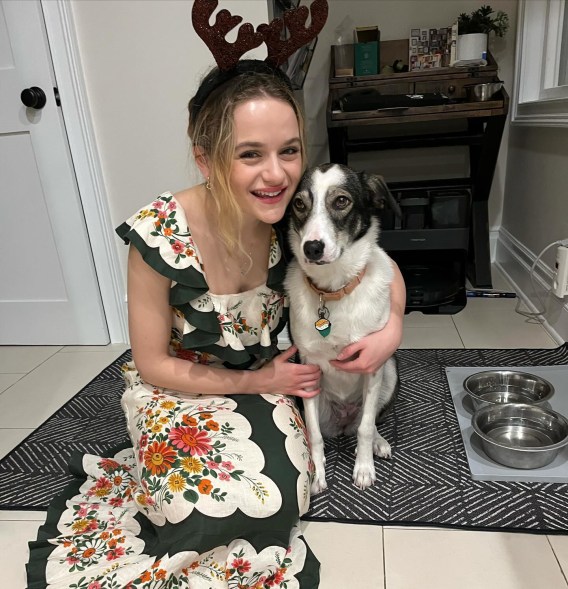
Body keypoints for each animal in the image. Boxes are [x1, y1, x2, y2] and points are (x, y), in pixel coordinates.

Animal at [284, 163, 400, 494]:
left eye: (341, 201)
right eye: (299, 204)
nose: (312, 247)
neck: (334, 290)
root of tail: (342, 420)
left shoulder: (373, 362)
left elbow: (366, 427)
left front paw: (363, 468)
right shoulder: (308, 368)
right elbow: (314, 435)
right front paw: (318, 475)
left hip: (389, 370)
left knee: (366, 421)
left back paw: (379, 443)